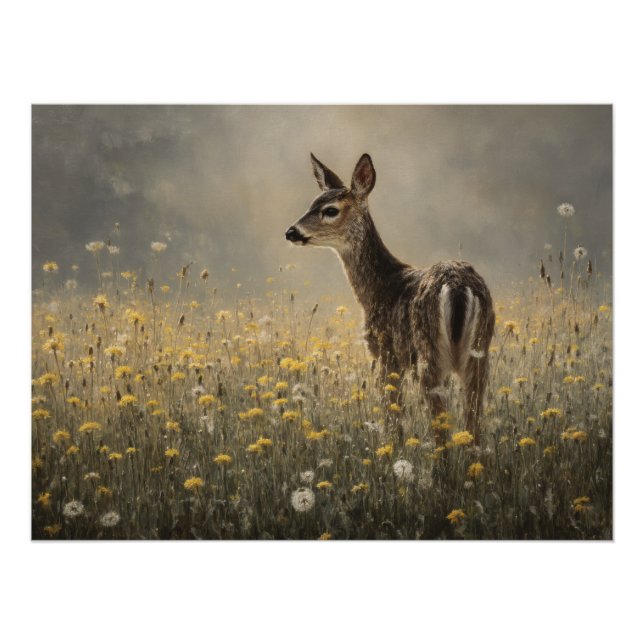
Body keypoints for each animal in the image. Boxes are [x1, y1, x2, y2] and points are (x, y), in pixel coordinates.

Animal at [285, 153, 496, 445]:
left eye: (330, 210)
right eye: (311, 203)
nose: (291, 232)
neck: (377, 288)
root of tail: (458, 286)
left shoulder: (385, 352)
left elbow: (393, 418)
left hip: (429, 354)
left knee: (441, 427)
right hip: (480, 351)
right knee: (472, 425)